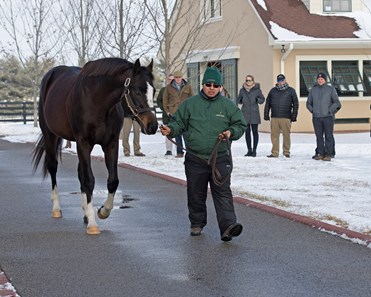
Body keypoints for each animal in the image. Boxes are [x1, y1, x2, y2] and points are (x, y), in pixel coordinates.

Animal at [32, 57, 158, 234]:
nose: (152, 126)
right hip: (51, 136)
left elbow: (112, 181)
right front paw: (92, 223)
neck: (97, 101)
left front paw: (102, 211)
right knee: (53, 167)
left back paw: (85, 212)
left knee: (80, 173)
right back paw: (57, 209)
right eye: (137, 91)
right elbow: (89, 180)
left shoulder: (110, 143)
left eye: (154, 91)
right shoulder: (83, 143)